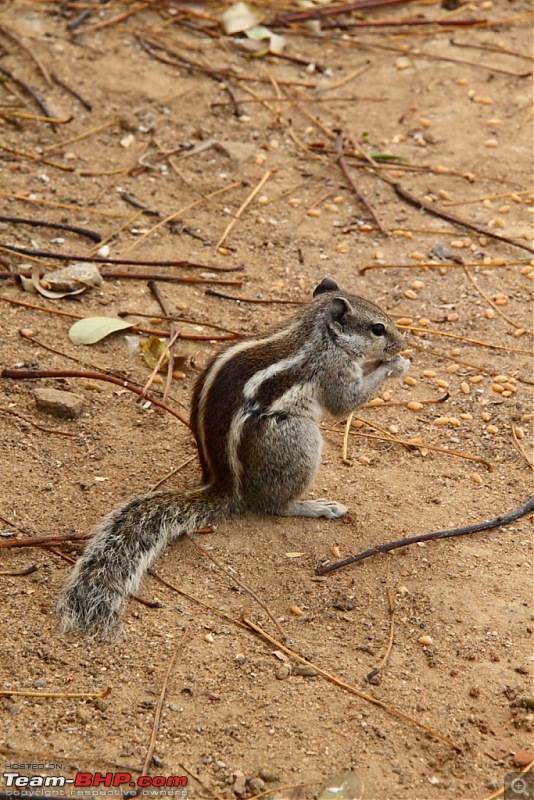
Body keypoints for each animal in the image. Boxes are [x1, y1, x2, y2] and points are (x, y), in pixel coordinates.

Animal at [57, 278, 410, 636]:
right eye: (378, 329)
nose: (403, 342)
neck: (316, 332)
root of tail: (225, 486)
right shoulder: (333, 371)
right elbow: (345, 402)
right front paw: (393, 365)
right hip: (296, 437)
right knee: (273, 505)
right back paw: (314, 506)